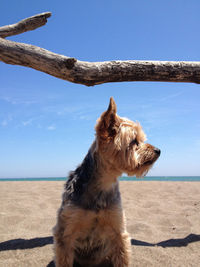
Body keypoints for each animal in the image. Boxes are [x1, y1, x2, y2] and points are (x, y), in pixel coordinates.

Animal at [52, 98, 160, 267]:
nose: (158, 150)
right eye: (134, 141)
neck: (103, 184)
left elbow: (122, 257)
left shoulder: (118, 230)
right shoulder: (66, 233)